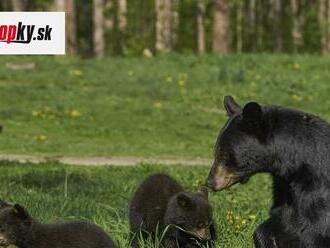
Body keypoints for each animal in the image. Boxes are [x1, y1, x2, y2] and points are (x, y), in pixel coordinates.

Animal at [208, 95, 330, 248]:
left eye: (224, 154)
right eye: (216, 151)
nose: (210, 181)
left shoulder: (317, 186)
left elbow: (315, 229)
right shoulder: (283, 186)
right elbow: (280, 219)